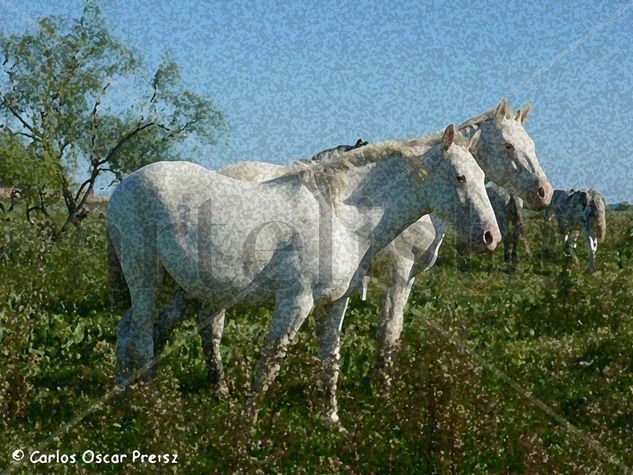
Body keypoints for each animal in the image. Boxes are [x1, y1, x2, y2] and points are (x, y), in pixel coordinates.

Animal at [106, 124, 498, 426]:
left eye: (483, 177)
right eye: (460, 177)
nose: (490, 237)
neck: (341, 216)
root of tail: (123, 187)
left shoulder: (335, 304)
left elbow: (330, 360)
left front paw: (331, 421)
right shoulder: (296, 301)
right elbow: (270, 363)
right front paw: (245, 427)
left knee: (127, 330)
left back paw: (120, 397)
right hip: (145, 276)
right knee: (142, 336)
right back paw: (149, 405)